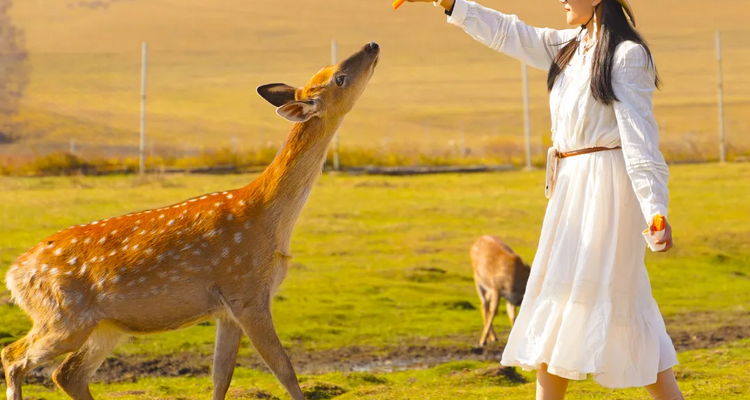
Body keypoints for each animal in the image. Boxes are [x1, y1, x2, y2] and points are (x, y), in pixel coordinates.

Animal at [2, 42, 381, 400]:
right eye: (339, 78)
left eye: (329, 68)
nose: (372, 45)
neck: (270, 221)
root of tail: (14, 274)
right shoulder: (246, 290)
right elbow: (284, 369)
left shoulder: (227, 311)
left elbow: (220, 378)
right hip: (63, 315)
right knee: (13, 355)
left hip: (107, 326)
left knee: (67, 373)